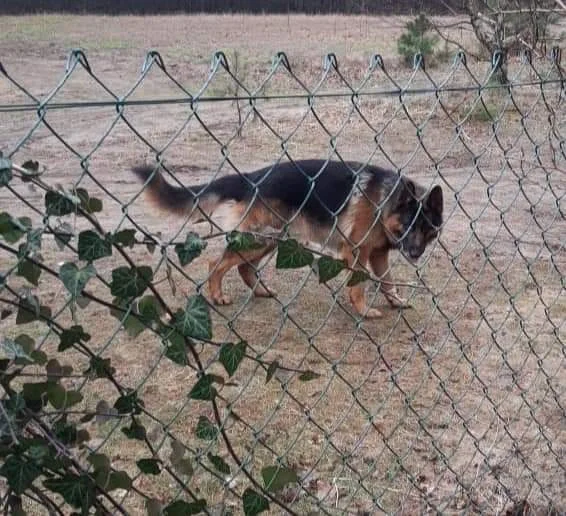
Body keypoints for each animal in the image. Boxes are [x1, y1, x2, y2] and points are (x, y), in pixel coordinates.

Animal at [132, 159, 444, 316]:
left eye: (428, 229)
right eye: (408, 226)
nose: (415, 254)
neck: (385, 203)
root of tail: (250, 178)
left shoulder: (379, 254)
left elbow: (388, 280)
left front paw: (396, 301)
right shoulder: (356, 252)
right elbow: (360, 284)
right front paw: (364, 310)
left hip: (271, 239)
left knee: (244, 268)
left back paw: (261, 291)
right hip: (259, 239)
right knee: (216, 263)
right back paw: (217, 295)